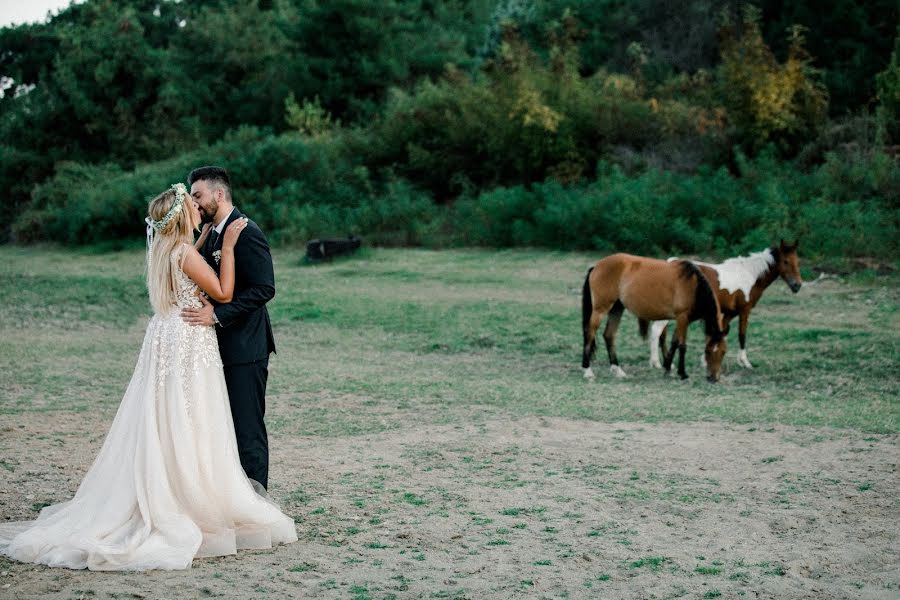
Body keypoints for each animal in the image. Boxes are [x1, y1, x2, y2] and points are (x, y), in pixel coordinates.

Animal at [580, 253, 728, 380]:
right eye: (708, 352)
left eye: (723, 352)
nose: (714, 378)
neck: (693, 287)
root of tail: (597, 266)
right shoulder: (682, 318)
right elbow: (682, 345)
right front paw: (682, 373)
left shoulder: (683, 320)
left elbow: (674, 342)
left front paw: (667, 369)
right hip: (600, 309)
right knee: (590, 333)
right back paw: (588, 371)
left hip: (617, 309)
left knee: (609, 335)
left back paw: (618, 370)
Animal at [648, 239, 800, 370]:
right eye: (786, 261)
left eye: (797, 261)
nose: (797, 285)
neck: (750, 275)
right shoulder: (744, 310)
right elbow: (742, 334)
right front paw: (745, 362)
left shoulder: (730, 312)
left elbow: (721, 333)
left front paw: (705, 360)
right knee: (657, 331)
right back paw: (656, 363)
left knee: (663, 334)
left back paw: (667, 363)